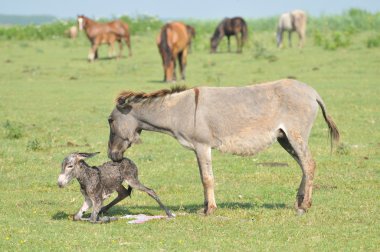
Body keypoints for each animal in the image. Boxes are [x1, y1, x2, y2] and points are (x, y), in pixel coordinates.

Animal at [108, 79, 340, 215]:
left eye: (110, 120)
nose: (112, 156)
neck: (179, 111)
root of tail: (313, 92)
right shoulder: (198, 149)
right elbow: (203, 176)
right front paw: (204, 207)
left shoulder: (202, 146)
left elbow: (207, 178)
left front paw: (210, 209)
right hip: (285, 139)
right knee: (304, 166)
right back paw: (299, 202)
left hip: (295, 135)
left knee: (309, 164)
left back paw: (305, 205)